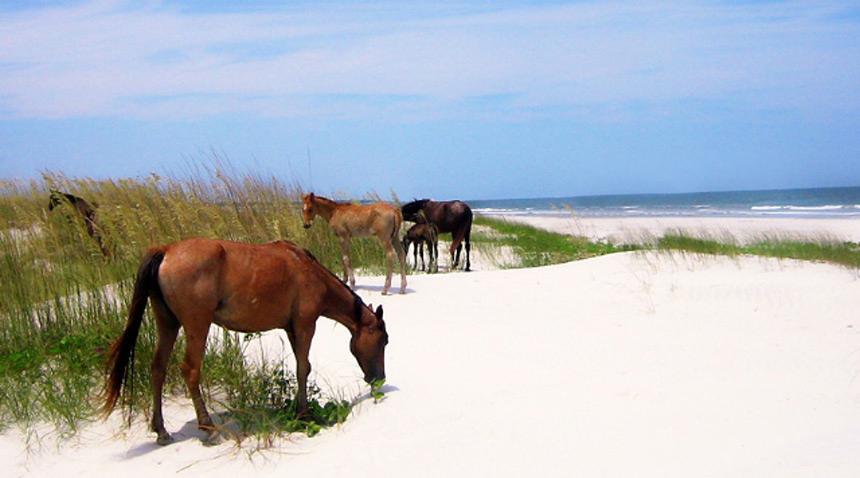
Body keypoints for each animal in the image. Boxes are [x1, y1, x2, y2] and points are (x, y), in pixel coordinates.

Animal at [98, 238, 390, 444]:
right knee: (190, 370)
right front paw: (304, 415)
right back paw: (208, 427)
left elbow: (300, 368)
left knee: (158, 368)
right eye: (384, 340)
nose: (378, 378)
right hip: (197, 325)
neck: (309, 270)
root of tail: (167, 250)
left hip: (168, 322)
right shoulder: (306, 325)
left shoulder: (292, 328)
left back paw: (161, 430)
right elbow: (303, 368)